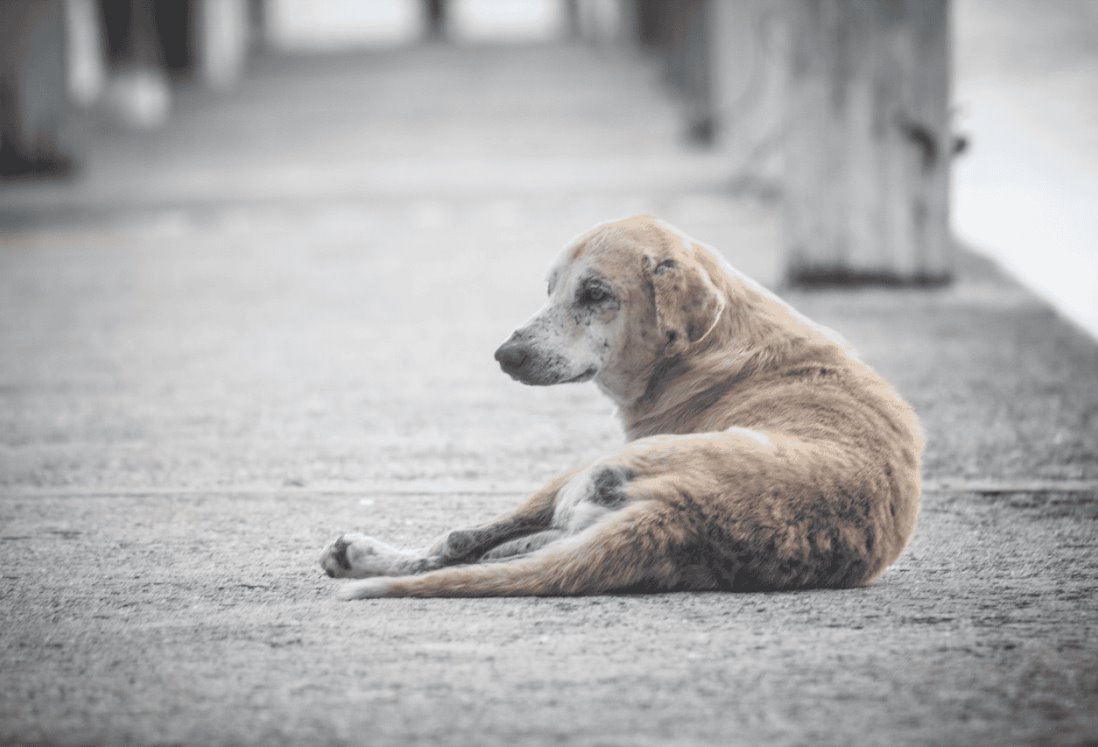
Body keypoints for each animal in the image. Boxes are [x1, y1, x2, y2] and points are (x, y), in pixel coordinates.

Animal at [320, 216, 922, 601]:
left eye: (595, 294)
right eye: (551, 288)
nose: (504, 356)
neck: (711, 342)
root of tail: (680, 513)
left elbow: (462, 540)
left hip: (581, 473)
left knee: (458, 546)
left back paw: (364, 556)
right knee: (500, 553)